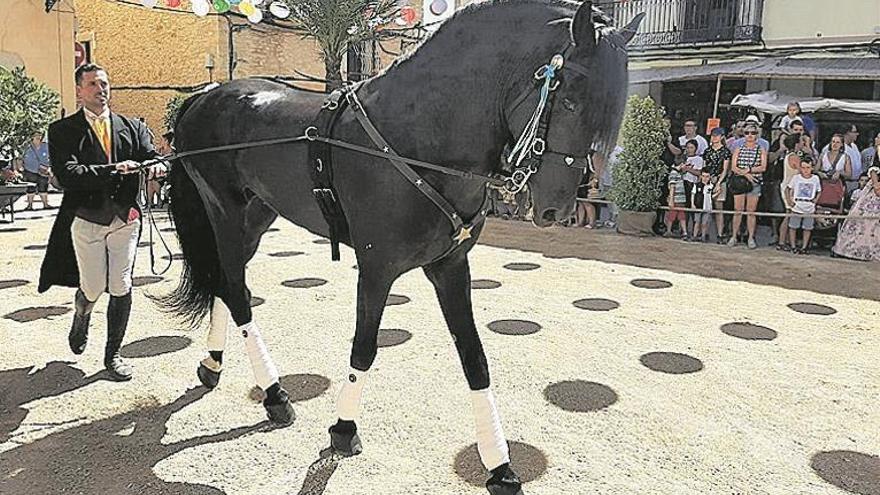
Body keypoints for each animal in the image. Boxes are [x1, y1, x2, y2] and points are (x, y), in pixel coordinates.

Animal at [162, 1, 640, 494]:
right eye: (570, 100)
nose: (557, 208)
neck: (418, 139)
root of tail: (204, 96)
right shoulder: (377, 267)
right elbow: (364, 349)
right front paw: (343, 429)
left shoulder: (451, 266)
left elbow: (475, 359)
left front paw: (500, 466)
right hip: (225, 214)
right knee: (236, 293)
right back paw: (274, 395)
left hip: (256, 219)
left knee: (226, 284)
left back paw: (213, 364)